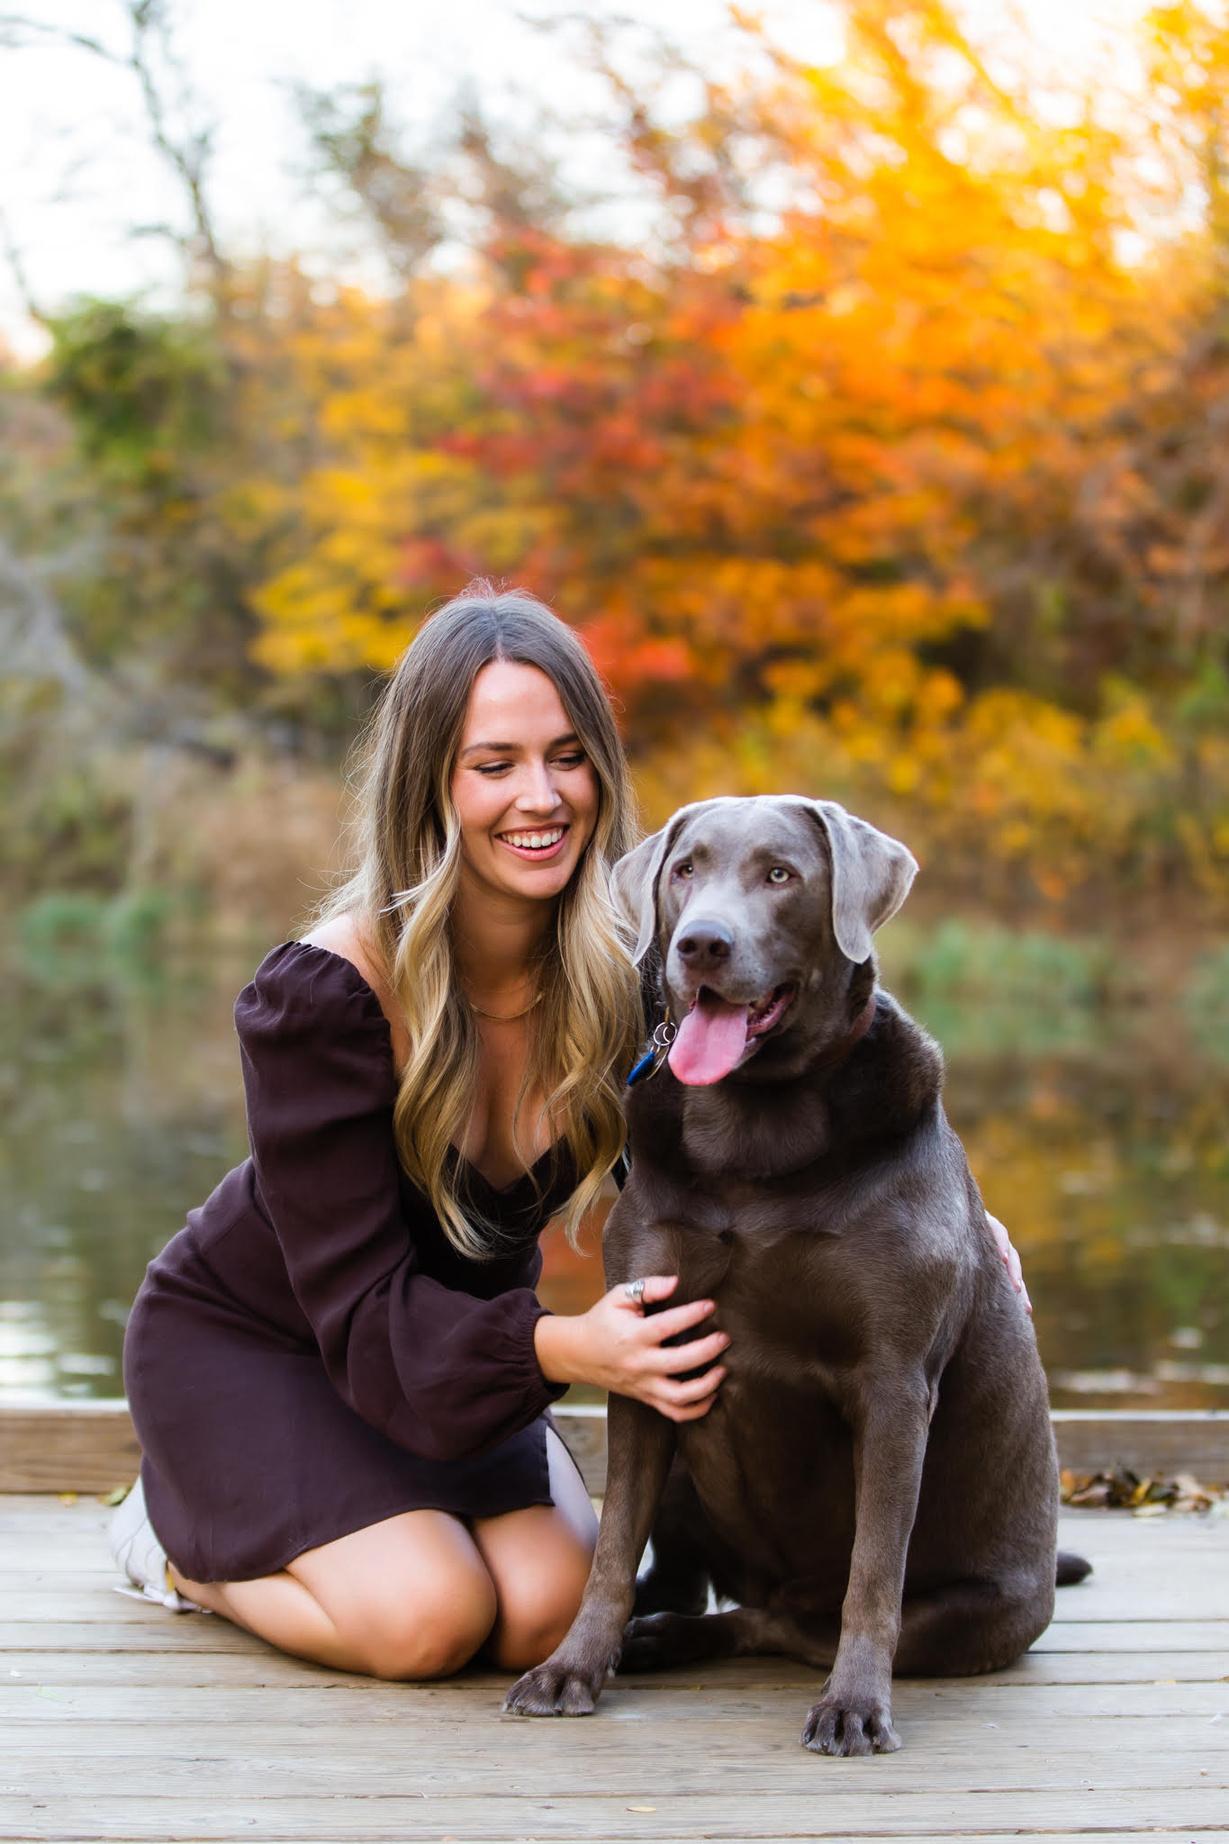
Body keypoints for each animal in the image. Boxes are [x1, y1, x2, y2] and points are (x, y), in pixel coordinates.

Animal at [506, 795, 1089, 1754]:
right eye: (685, 870)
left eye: (780, 874)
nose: (699, 944)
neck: (750, 1136)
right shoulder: (644, 1350)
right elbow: (613, 1548)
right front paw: (571, 1668)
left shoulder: (892, 1384)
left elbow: (872, 1574)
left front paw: (853, 1706)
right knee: (718, 1594)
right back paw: (655, 1634)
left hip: (970, 1613)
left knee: (786, 1622)